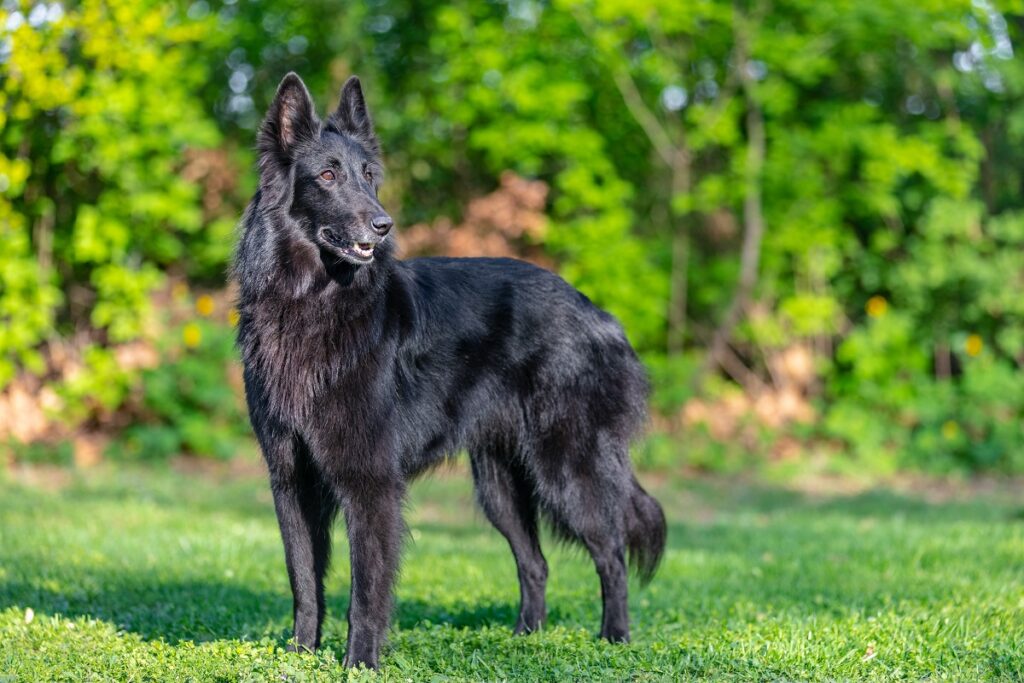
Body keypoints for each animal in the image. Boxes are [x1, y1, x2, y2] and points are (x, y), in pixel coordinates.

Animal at [233, 73, 667, 667]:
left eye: (369, 176)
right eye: (327, 176)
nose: (383, 225)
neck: (312, 302)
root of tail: (599, 314)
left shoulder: (370, 482)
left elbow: (365, 590)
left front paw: (360, 663)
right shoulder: (292, 481)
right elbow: (304, 581)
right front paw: (301, 656)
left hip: (568, 469)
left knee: (612, 553)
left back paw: (615, 639)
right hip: (499, 486)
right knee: (536, 562)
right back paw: (526, 638)